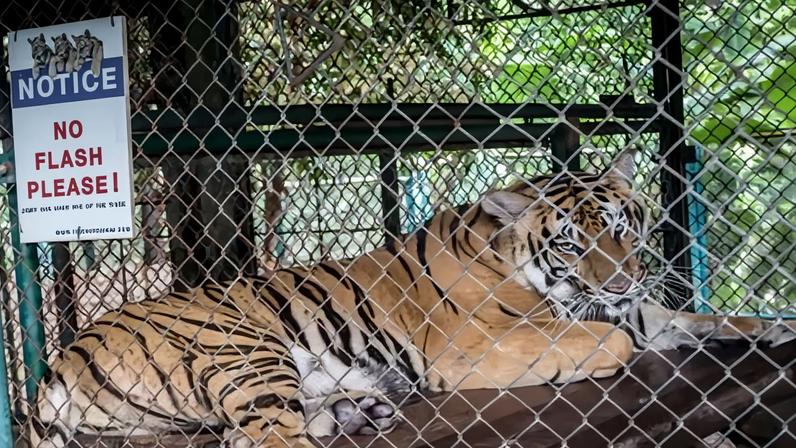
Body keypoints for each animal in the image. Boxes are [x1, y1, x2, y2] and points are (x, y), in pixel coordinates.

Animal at [30, 149, 796, 448]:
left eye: (619, 228)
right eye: (571, 243)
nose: (621, 278)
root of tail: (65, 355)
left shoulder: (632, 305)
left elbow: (694, 317)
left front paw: (772, 330)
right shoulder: (469, 352)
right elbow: (613, 339)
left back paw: (357, 409)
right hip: (246, 346)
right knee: (260, 437)